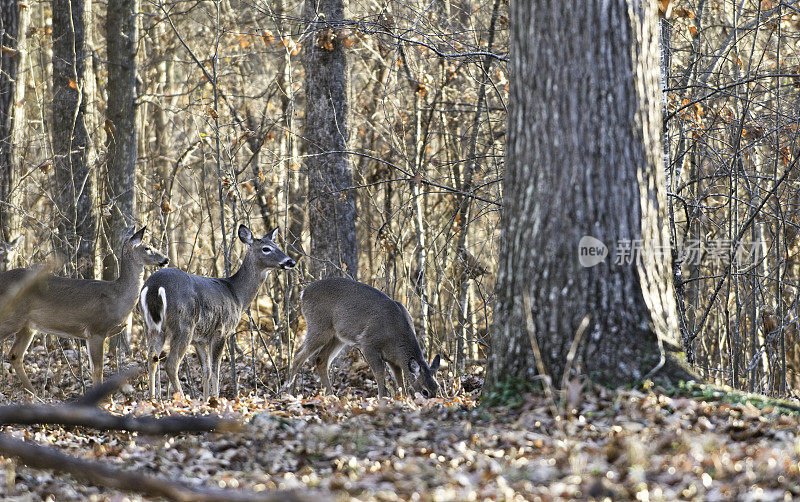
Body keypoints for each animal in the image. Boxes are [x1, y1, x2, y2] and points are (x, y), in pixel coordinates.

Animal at [0, 226, 167, 394]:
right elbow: (98, 369)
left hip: (28, 326)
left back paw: (34, 394)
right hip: (10, 317)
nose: (166, 259)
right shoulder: (96, 330)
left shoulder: (89, 335)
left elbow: (93, 369)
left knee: (15, 355)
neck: (117, 296)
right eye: (147, 248)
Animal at [141, 225, 296, 400]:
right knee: (171, 364)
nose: (290, 261)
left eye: (277, 245)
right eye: (266, 249)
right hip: (183, 325)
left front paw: (206, 399)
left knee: (151, 358)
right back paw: (181, 398)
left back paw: (153, 399)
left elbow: (206, 371)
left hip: (152, 327)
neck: (237, 295)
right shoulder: (221, 330)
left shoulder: (199, 339)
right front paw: (215, 398)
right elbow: (216, 370)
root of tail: (155, 286)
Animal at [284, 276, 440, 398]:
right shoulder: (368, 344)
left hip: (337, 337)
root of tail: (304, 292)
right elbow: (380, 372)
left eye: (437, 388)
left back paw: (330, 395)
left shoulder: (394, 359)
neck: (397, 335)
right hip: (319, 326)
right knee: (298, 355)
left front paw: (403, 397)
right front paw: (383, 397)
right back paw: (288, 392)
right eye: (425, 391)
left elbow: (399, 378)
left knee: (320, 359)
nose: (433, 401)